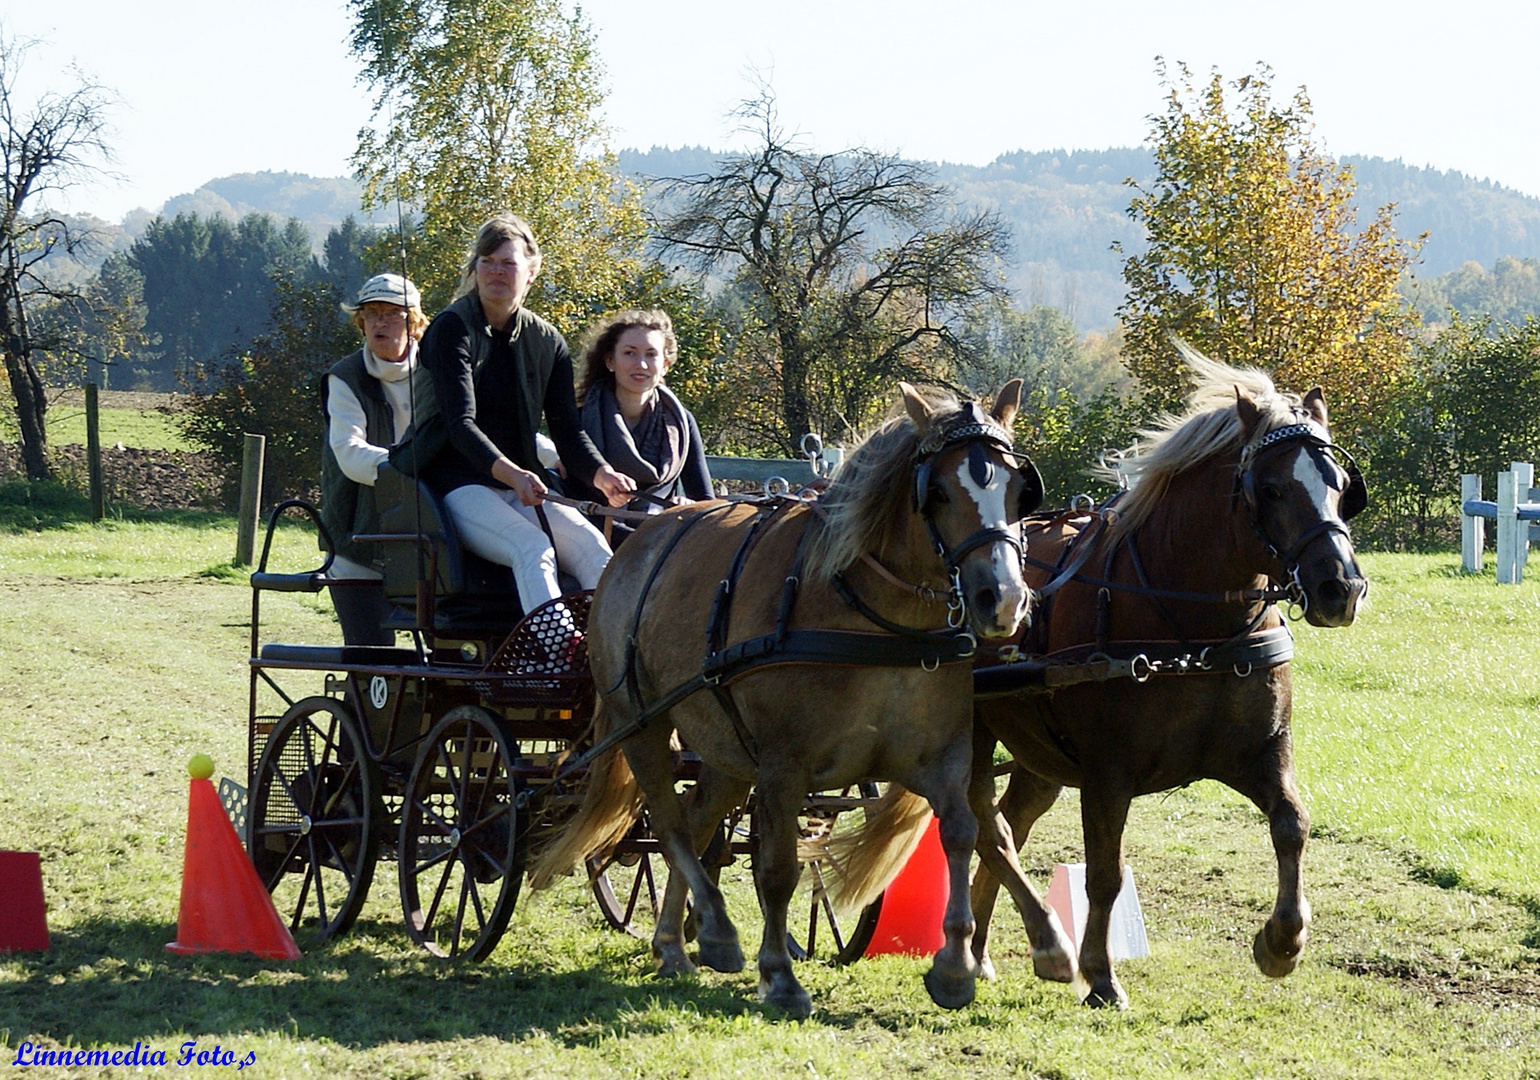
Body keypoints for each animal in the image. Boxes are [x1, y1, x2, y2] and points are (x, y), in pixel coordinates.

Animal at [532, 380, 1047, 1016]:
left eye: (1019, 491)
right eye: (939, 492)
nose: (1003, 599)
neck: (878, 621)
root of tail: (638, 541)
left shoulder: (942, 757)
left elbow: (963, 833)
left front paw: (954, 966)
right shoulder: (782, 767)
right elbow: (776, 867)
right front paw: (778, 974)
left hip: (724, 747)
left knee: (697, 820)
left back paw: (676, 942)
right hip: (642, 722)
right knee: (670, 822)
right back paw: (717, 931)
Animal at [843, 348, 1373, 1010]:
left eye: (1340, 486)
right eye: (1272, 488)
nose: (1340, 587)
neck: (1191, 624)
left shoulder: (1263, 753)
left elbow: (1292, 825)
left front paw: (1282, 942)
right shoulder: (1107, 774)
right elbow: (1103, 874)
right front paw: (1099, 974)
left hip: (1038, 756)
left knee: (1012, 822)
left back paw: (989, 951)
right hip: (972, 738)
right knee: (989, 831)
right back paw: (1030, 950)